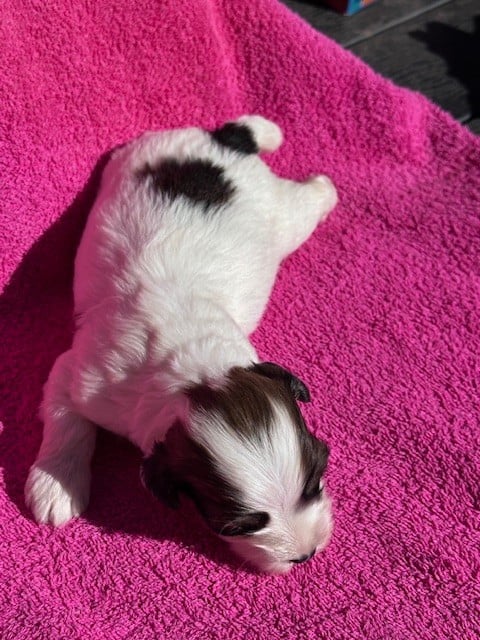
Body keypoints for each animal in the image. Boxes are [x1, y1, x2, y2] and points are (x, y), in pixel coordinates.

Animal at [25, 115, 338, 574]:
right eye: (237, 526)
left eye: (316, 477)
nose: (306, 555)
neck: (196, 372)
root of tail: (225, 145)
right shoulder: (82, 376)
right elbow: (68, 423)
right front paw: (56, 486)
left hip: (272, 214)